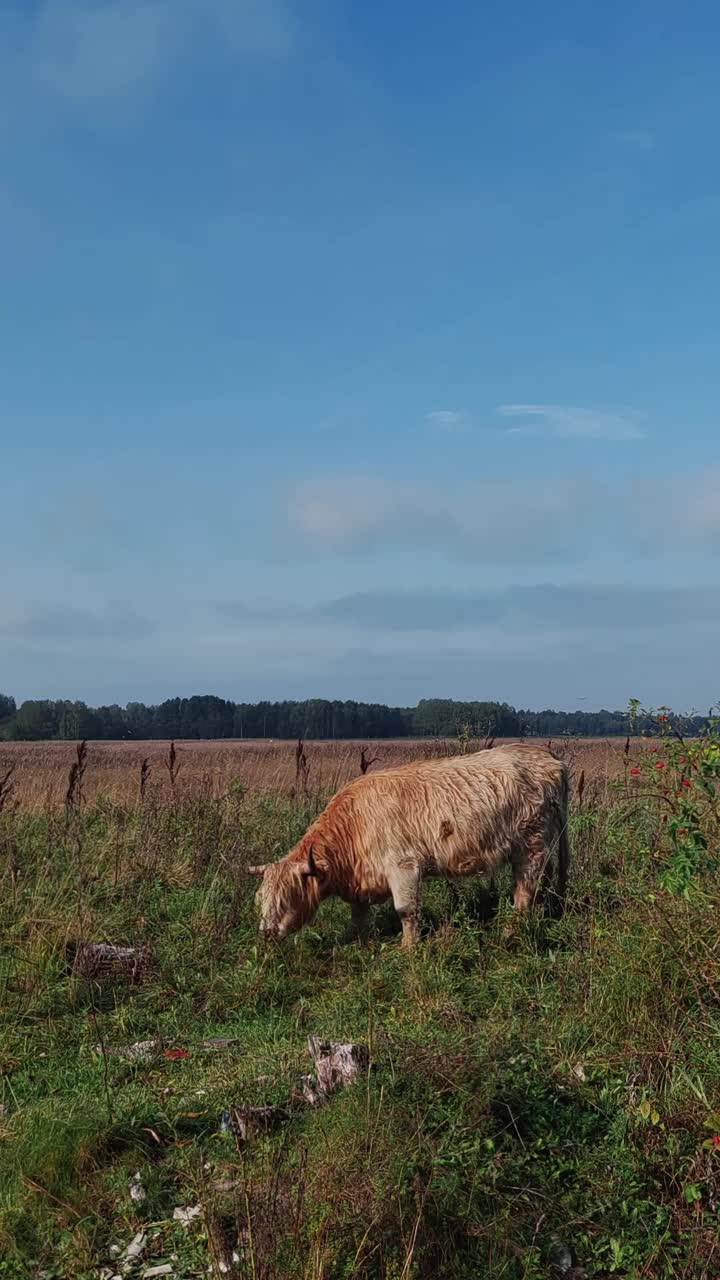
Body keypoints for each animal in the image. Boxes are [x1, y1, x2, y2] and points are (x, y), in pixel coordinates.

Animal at [249, 742, 568, 952]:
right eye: (260, 899)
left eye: (287, 897)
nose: (265, 933)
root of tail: (545, 754)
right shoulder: (360, 882)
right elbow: (358, 916)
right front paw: (358, 941)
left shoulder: (403, 866)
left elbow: (405, 910)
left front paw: (407, 948)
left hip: (532, 846)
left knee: (524, 892)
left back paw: (509, 932)